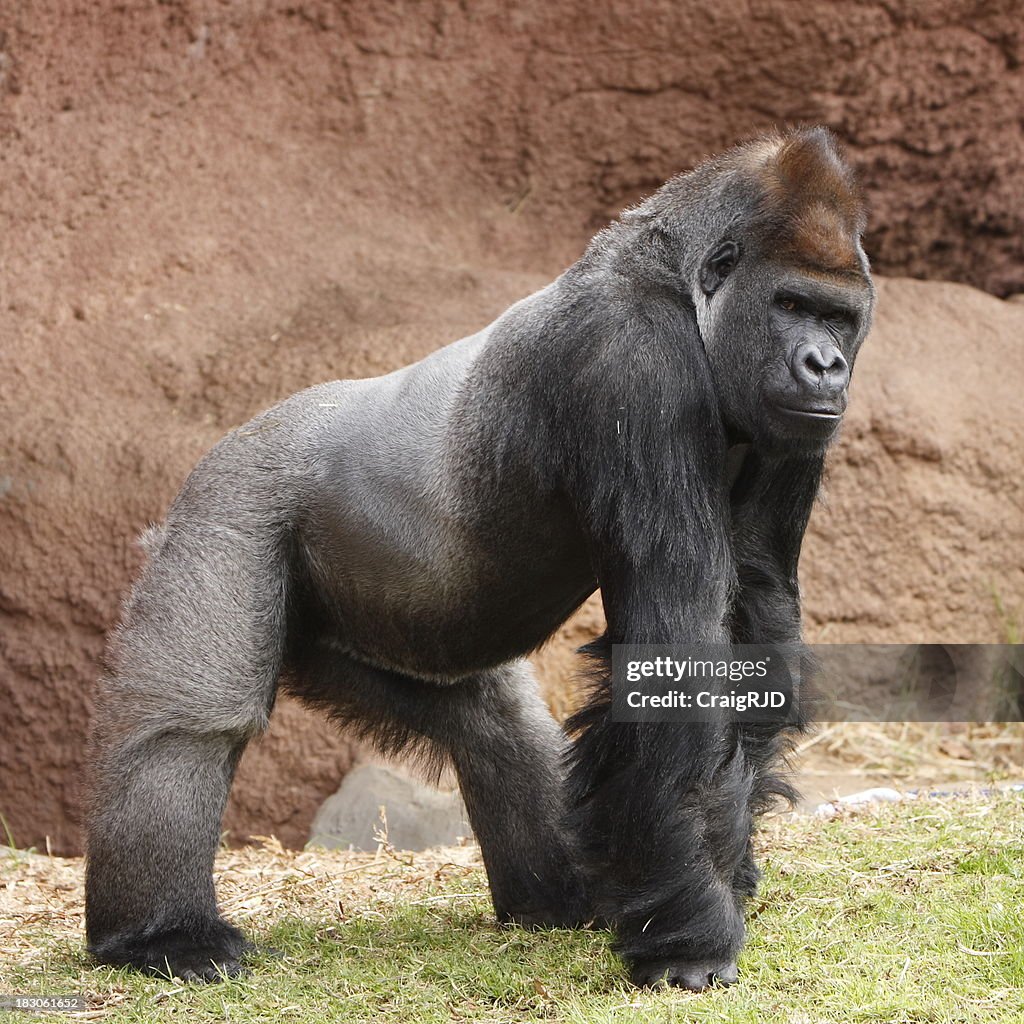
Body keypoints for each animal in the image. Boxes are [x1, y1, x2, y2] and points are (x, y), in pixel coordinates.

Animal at [86, 125, 872, 991]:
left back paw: (559, 895)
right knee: (193, 724)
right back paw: (161, 935)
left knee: (496, 728)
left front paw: (717, 874)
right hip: (227, 501)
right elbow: (678, 646)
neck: (678, 278)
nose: (826, 365)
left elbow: (756, 611)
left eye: (838, 317)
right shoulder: (633, 362)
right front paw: (690, 936)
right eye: (790, 305)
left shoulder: (793, 428)